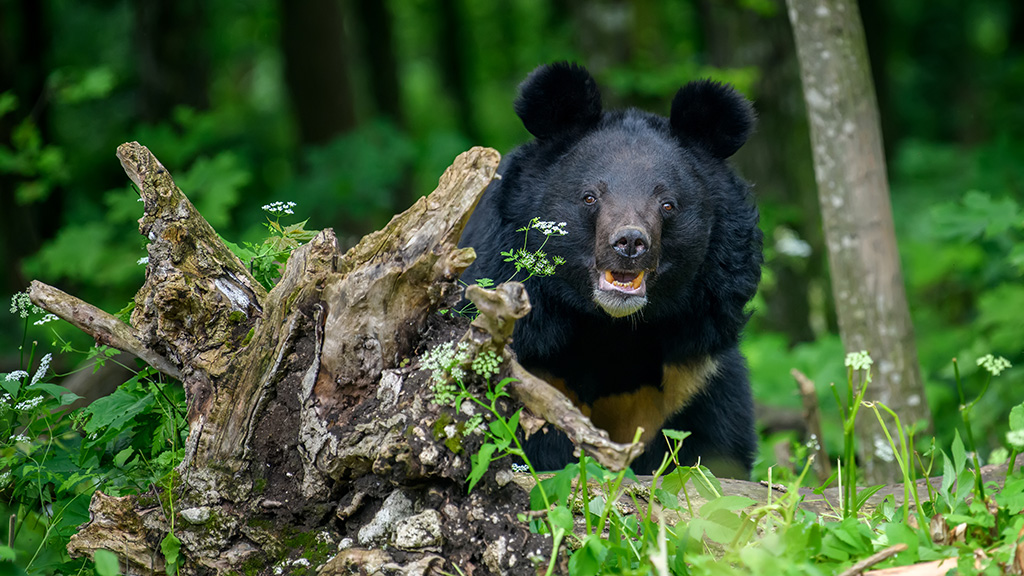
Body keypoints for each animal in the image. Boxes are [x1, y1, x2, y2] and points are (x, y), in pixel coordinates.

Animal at [458, 62, 762, 478]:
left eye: (667, 204)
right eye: (590, 197)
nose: (630, 243)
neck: (611, 329)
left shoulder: (696, 377)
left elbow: (714, 448)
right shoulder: (532, 364)